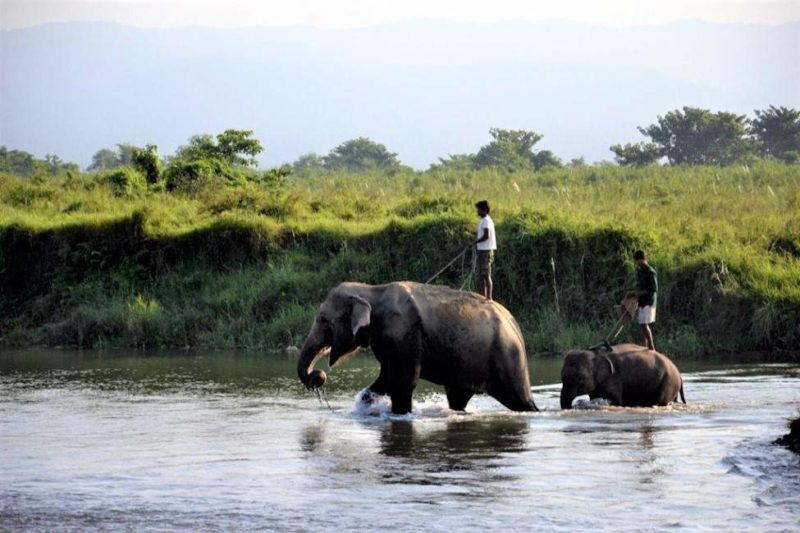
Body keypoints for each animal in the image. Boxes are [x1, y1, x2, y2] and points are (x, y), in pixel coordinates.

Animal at [296, 280, 540, 414]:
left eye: (324, 321)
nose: (318, 377)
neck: (372, 290)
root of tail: (516, 326)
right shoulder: (386, 339)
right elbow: (385, 379)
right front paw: (367, 402)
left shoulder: (404, 333)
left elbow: (402, 381)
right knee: (457, 398)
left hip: (507, 357)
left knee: (520, 400)